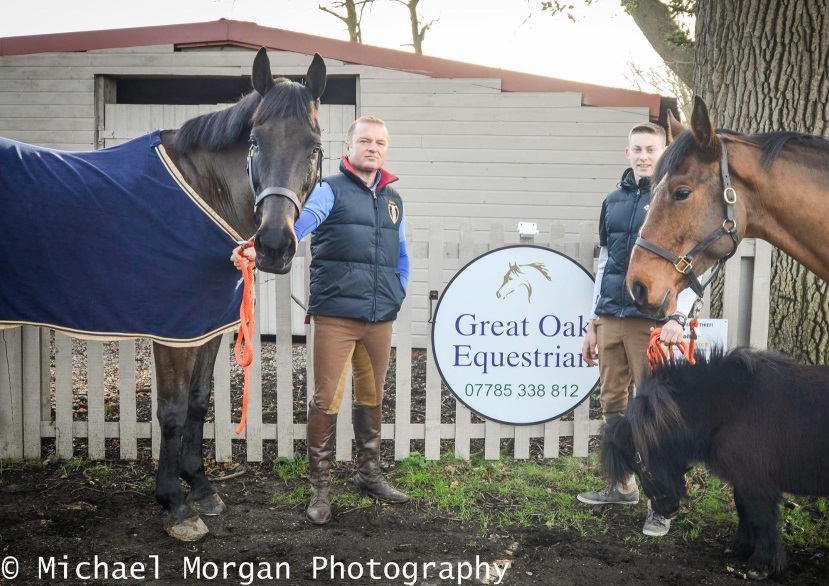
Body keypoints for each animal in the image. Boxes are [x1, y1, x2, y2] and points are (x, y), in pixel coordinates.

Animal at [0, 49, 328, 540]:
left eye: (314, 146)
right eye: (254, 142)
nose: (273, 245)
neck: (201, 191)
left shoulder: (206, 326)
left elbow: (198, 402)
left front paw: (202, 487)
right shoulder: (173, 331)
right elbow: (171, 412)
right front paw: (175, 504)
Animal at [600, 346, 828, 580]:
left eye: (639, 466)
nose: (666, 511)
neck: (734, 406)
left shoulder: (757, 483)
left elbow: (762, 518)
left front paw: (763, 565)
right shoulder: (742, 480)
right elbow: (743, 509)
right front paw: (740, 547)